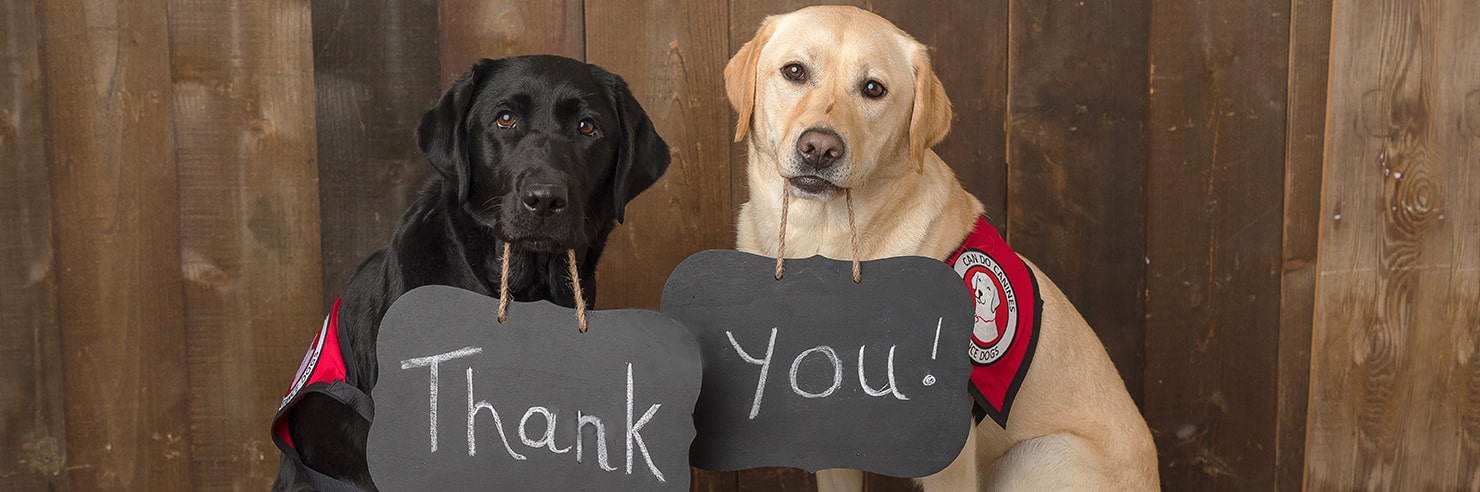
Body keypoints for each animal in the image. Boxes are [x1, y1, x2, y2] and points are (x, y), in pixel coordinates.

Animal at [722, 5, 1160, 489]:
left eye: (873, 89)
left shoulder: (949, 450)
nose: (820, 148)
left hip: (1038, 455)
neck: (821, 241)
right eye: (795, 71)